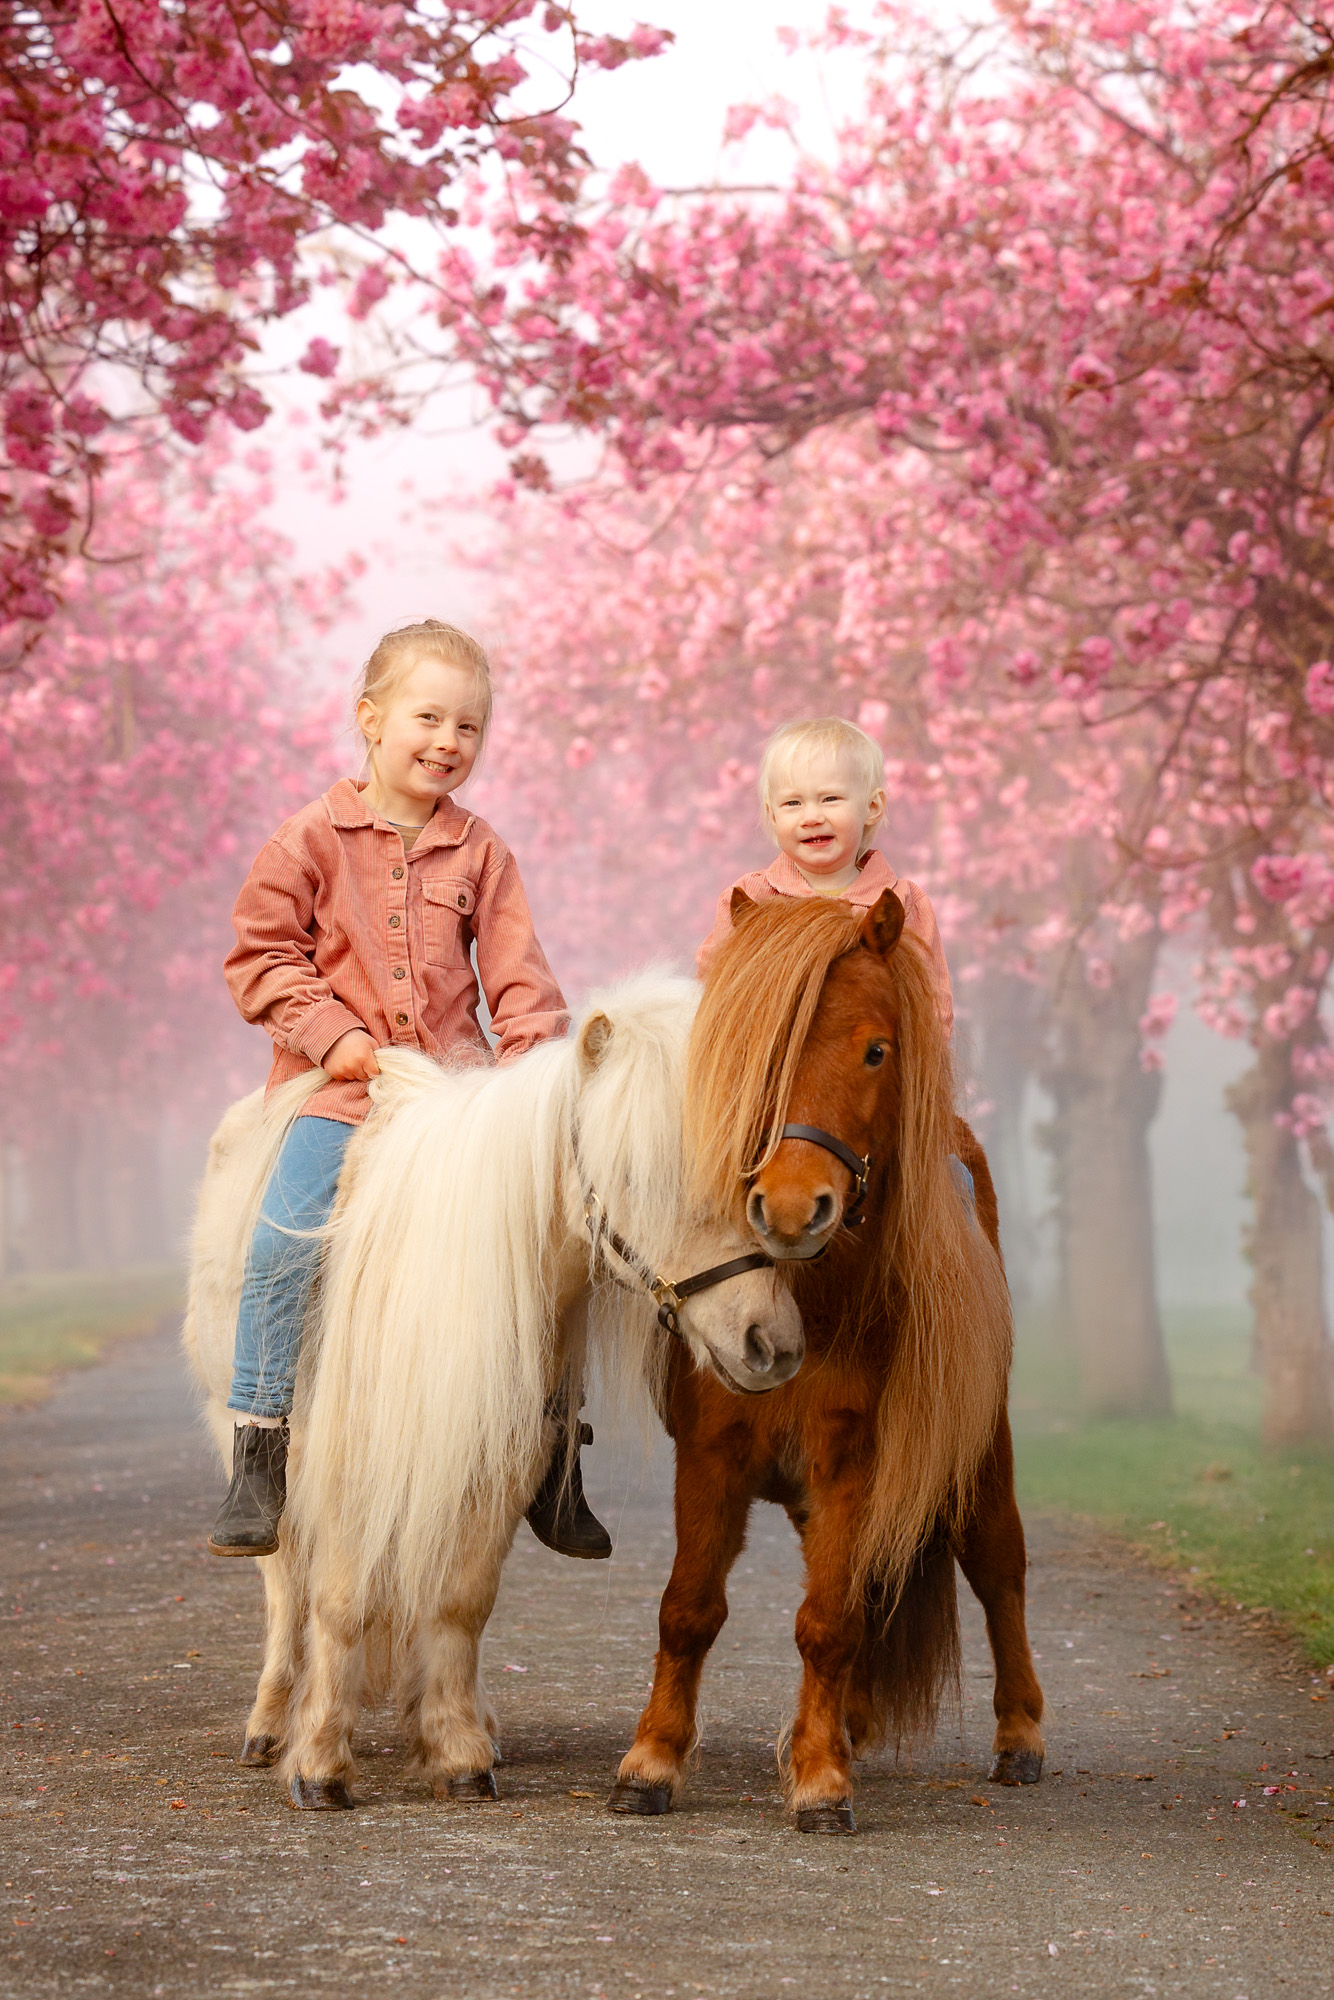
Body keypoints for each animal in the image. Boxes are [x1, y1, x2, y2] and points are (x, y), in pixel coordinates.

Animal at [184, 973, 804, 1810]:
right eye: (637, 1175)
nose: (769, 1340)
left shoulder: (493, 1453)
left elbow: (460, 1599)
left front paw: (458, 1748)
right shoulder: (345, 1462)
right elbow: (339, 1600)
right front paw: (318, 1764)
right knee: (284, 1583)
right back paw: (271, 1724)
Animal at [608, 892, 1045, 1833]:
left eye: (878, 1049)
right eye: (757, 1054)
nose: (789, 1207)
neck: (814, 1297)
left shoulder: (855, 1459)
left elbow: (827, 1620)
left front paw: (819, 1781)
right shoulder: (711, 1453)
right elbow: (689, 1609)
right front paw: (651, 1761)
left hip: (980, 1455)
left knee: (998, 1567)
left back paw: (1019, 1736)